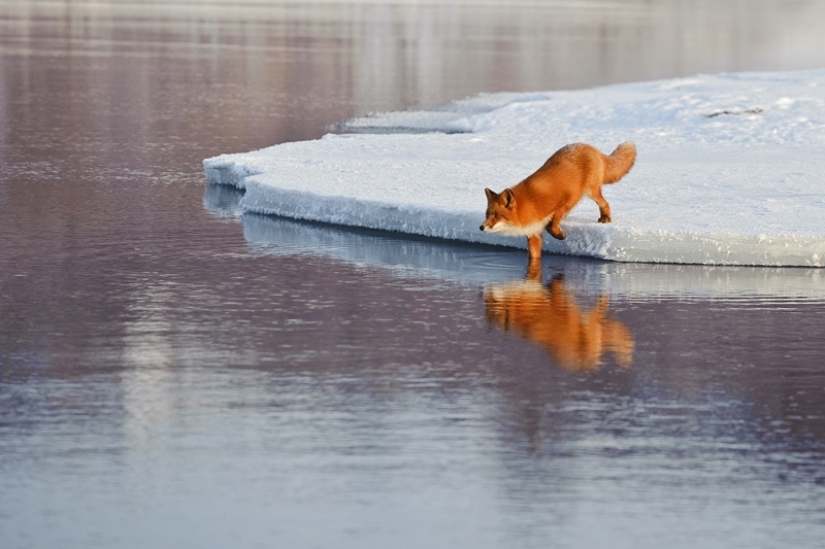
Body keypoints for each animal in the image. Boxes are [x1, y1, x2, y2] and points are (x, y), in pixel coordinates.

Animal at [480, 142, 636, 258]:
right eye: (487, 215)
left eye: (497, 215)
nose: (481, 227)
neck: (529, 205)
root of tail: (588, 146)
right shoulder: (534, 234)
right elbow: (534, 258)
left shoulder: (568, 199)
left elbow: (553, 222)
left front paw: (559, 234)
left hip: (591, 191)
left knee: (605, 203)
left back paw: (605, 217)